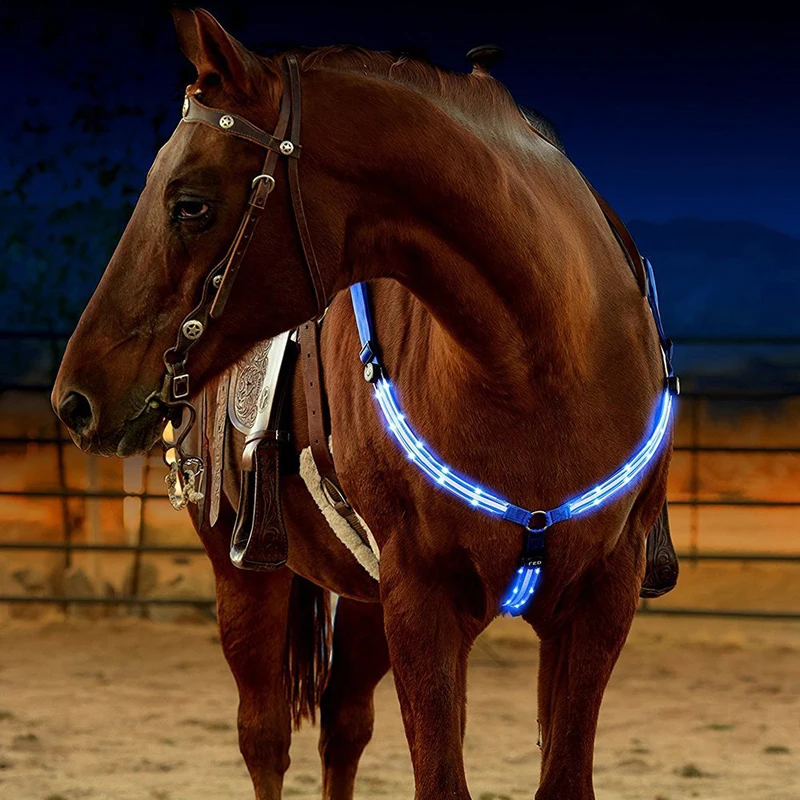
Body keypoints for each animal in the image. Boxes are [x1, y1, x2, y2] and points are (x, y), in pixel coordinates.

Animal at [52, 8, 674, 798]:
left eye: (190, 204)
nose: (75, 399)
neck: (542, 366)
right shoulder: (422, 600)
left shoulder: (599, 599)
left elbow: (558, 776)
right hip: (247, 574)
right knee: (265, 737)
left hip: (367, 600)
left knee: (343, 726)